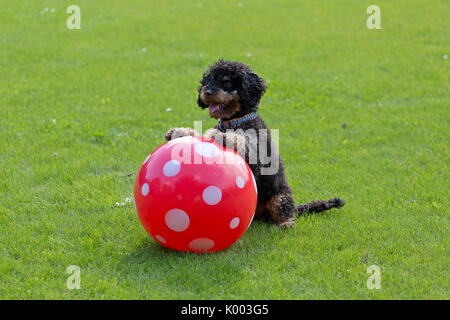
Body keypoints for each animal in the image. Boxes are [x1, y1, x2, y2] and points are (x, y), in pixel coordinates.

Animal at [165, 58, 344, 226]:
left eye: (227, 82)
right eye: (208, 80)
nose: (206, 92)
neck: (235, 121)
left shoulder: (257, 157)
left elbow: (242, 142)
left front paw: (222, 136)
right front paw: (179, 132)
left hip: (280, 195)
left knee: (285, 211)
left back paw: (286, 223)